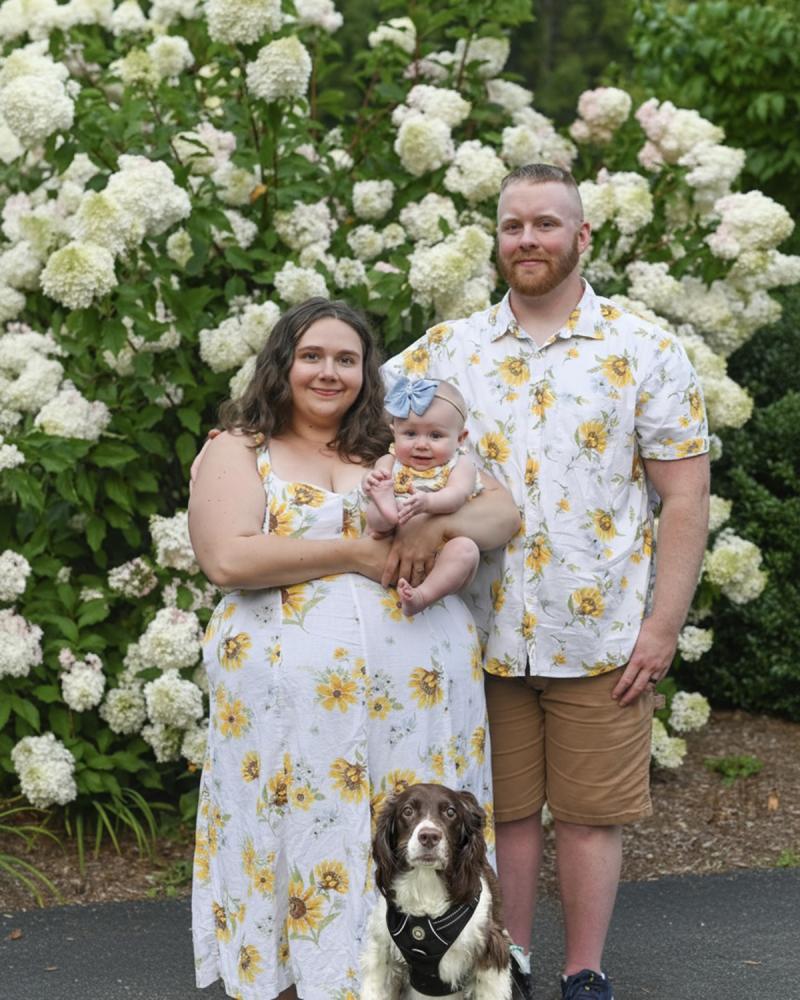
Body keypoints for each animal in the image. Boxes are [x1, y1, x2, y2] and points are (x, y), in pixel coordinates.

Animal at [360, 782, 512, 999]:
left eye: (450, 812)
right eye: (408, 811)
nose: (429, 836)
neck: (425, 884)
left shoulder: (490, 952)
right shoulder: (381, 952)